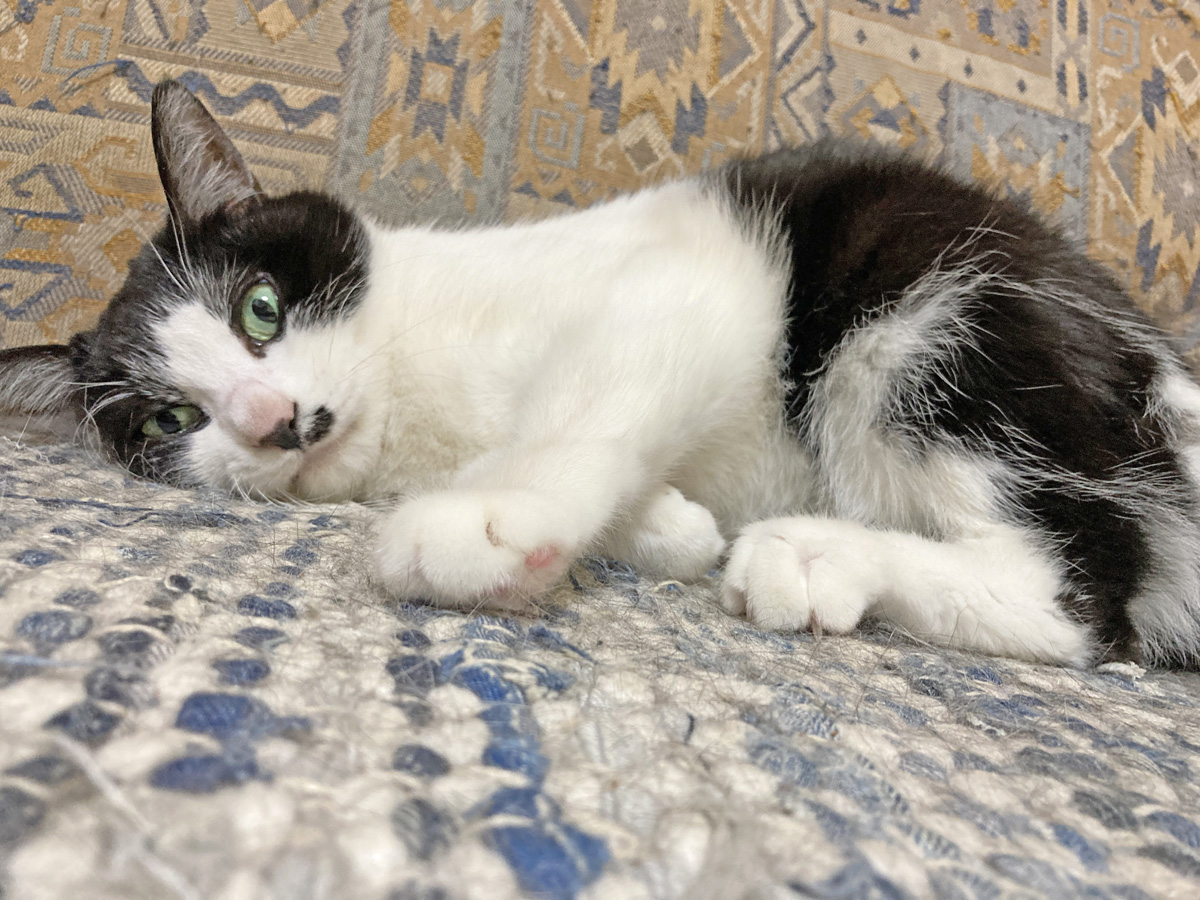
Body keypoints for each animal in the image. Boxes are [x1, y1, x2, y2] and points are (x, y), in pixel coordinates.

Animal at [2, 79, 1199, 669]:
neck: (420, 401)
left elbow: (591, 404)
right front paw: (667, 528)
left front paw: (486, 515)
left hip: (930, 317)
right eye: (170, 419)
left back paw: (816, 553)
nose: (274, 417)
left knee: (1084, 600)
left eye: (260, 307)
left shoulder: (686, 283)